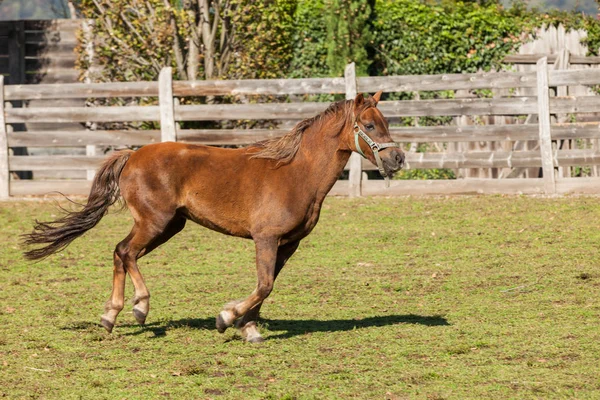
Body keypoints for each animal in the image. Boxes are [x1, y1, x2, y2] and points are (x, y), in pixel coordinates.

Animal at [24, 91, 408, 344]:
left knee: (121, 253)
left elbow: (266, 285)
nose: (398, 160)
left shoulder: (288, 245)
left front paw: (249, 328)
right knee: (125, 252)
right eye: (370, 125)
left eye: (385, 123)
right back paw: (138, 308)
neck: (296, 173)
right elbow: (264, 285)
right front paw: (226, 318)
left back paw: (110, 316)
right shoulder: (266, 238)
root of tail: (132, 155)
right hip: (154, 222)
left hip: (169, 225)